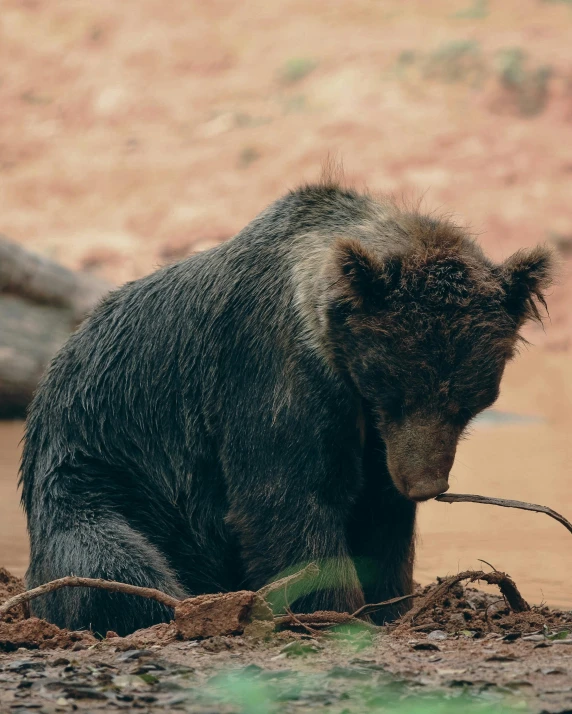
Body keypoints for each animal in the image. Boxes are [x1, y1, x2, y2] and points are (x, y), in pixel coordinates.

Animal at [20, 179, 552, 636]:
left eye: (469, 400)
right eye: (394, 390)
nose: (424, 484)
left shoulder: (375, 441)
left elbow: (380, 520)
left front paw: (389, 605)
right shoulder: (272, 371)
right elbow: (287, 499)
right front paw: (335, 610)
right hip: (103, 473)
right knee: (113, 565)